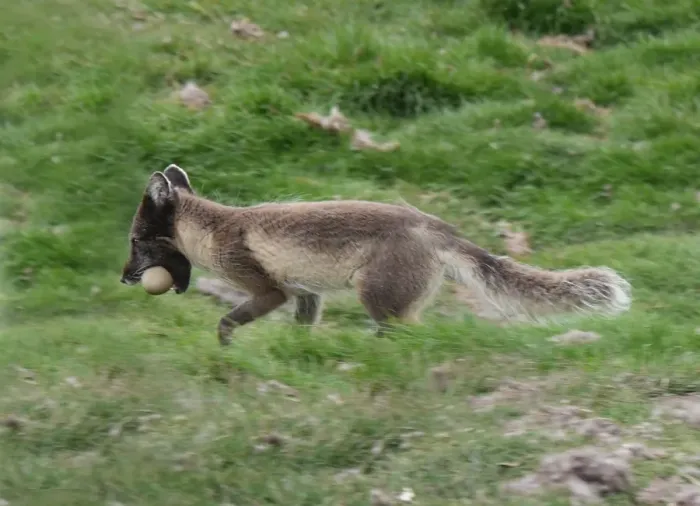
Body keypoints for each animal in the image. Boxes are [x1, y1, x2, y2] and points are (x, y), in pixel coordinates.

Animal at [120, 164, 632, 345]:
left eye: (135, 242)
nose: (124, 278)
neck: (216, 229)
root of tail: (438, 226)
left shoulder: (270, 290)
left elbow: (226, 321)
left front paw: (226, 348)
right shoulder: (306, 295)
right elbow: (302, 331)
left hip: (378, 301)